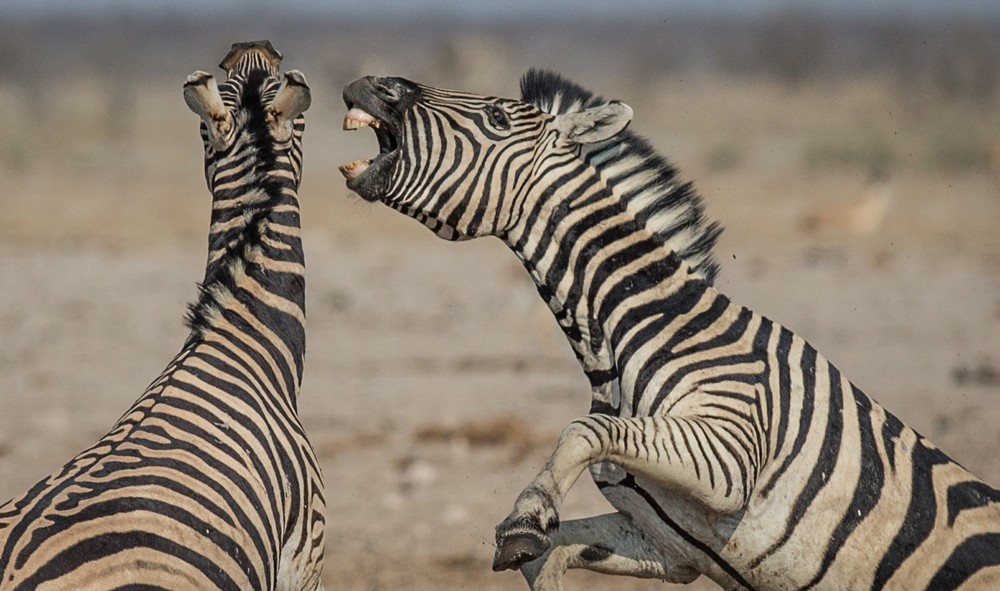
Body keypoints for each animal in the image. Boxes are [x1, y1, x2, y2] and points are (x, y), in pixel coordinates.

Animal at [338, 70, 1000, 591]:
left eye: (498, 117)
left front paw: (527, 514)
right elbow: (545, 555)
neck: (620, 342)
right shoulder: (669, 544)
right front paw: (532, 530)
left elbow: (581, 432)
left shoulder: (730, 452)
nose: (371, 83)